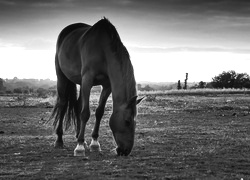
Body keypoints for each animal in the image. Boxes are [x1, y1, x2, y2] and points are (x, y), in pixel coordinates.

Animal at [49, 17, 144, 157]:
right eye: (127, 121)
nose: (125, 151)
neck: (103, 49)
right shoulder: (87, 80)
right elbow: (85, 113)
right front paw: (79, 147)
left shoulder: (107, 85)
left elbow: (99, 112)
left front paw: (94, 143)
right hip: (62, 77)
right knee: (62, 104)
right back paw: (60, 140)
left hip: (80, 82)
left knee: (78, 105)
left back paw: (80, 137)